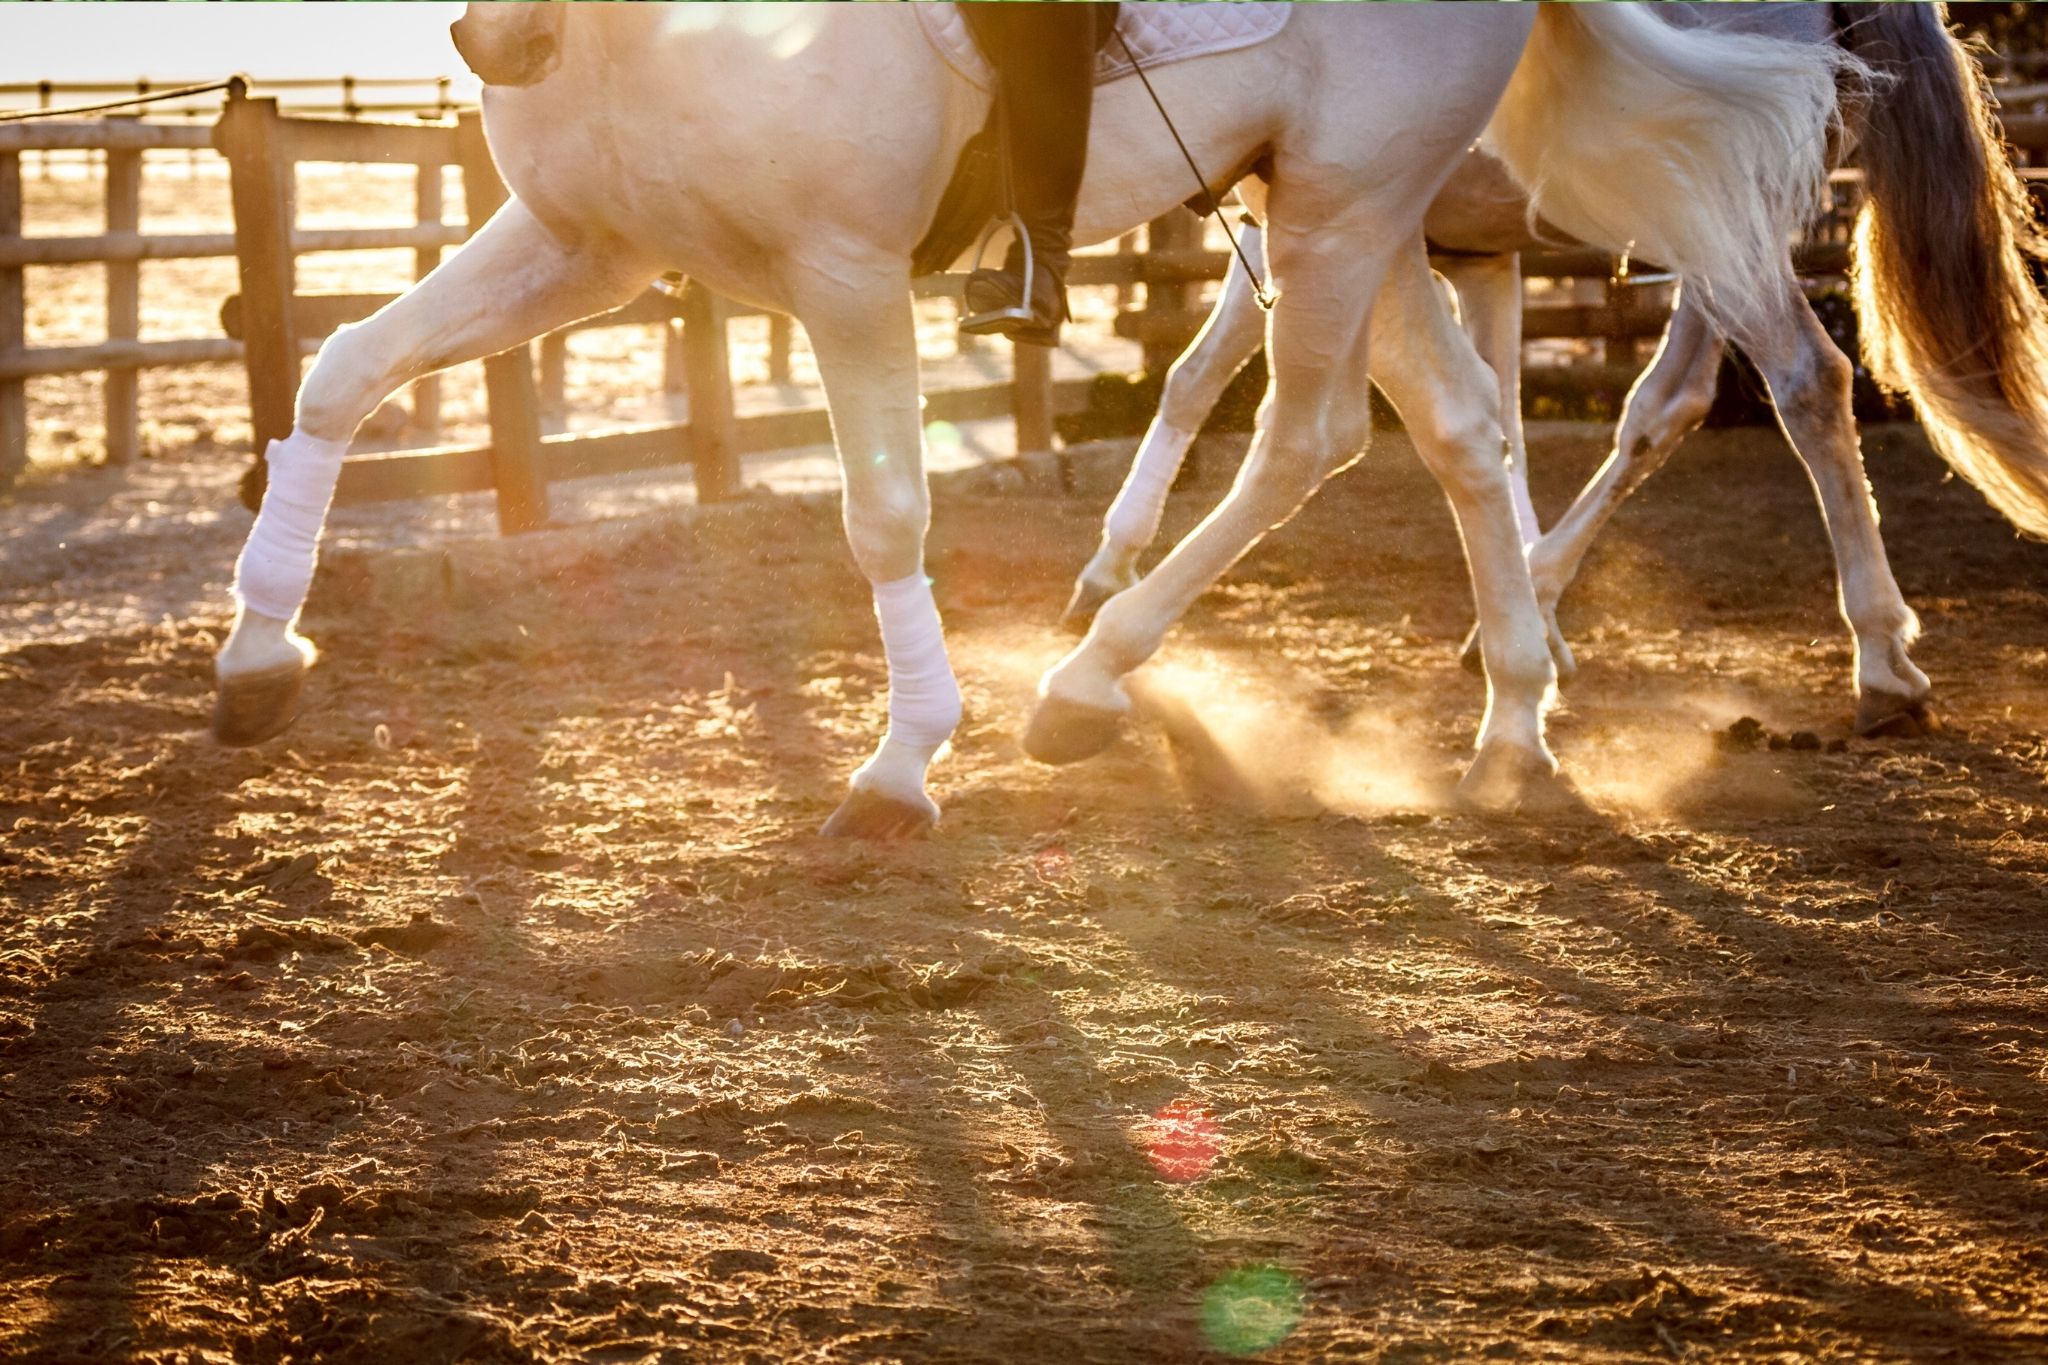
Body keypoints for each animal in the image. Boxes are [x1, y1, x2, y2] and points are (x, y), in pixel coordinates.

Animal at [212, 1, 1860, 836]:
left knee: (1306, 437)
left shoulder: (844, 273)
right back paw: (1512, 728)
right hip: (1357, 209)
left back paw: (1084, 683)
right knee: (1459, 429)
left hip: (1339, 208)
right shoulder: (584, 246)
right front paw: (257, 658)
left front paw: (900, 765)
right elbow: (343, 370)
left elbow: (884, 512)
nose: (496, 41)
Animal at [1059, 2, 2048, 741]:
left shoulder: (1302, 230)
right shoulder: (1470, 262)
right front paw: (1525, 622)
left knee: (1806, 378)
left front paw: (1108, 568)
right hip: (1710, 225)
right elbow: (1500, 420)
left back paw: (1880, 658)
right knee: (1670, 403)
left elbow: (1193, 375)